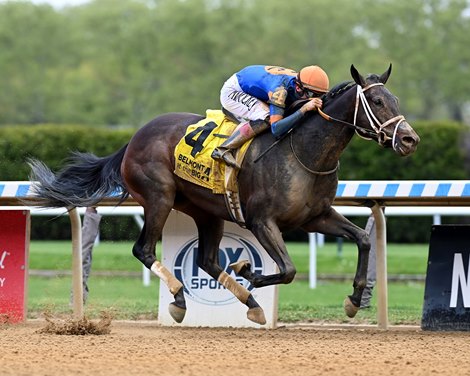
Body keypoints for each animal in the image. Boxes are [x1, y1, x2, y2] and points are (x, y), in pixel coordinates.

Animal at [29, 66, 418, 324]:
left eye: (395, 99)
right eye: (377, 101)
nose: (410, 139)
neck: (304, 153)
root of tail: (133, 139)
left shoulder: (316, 217)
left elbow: (363, 240)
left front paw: (353, 299)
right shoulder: (263, 221)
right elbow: (287, 269)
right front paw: (249, 270)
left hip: (207, 211)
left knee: (207, 261)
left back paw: (250, 304)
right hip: (159, 197)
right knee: (145, 249)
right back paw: (180, 298)